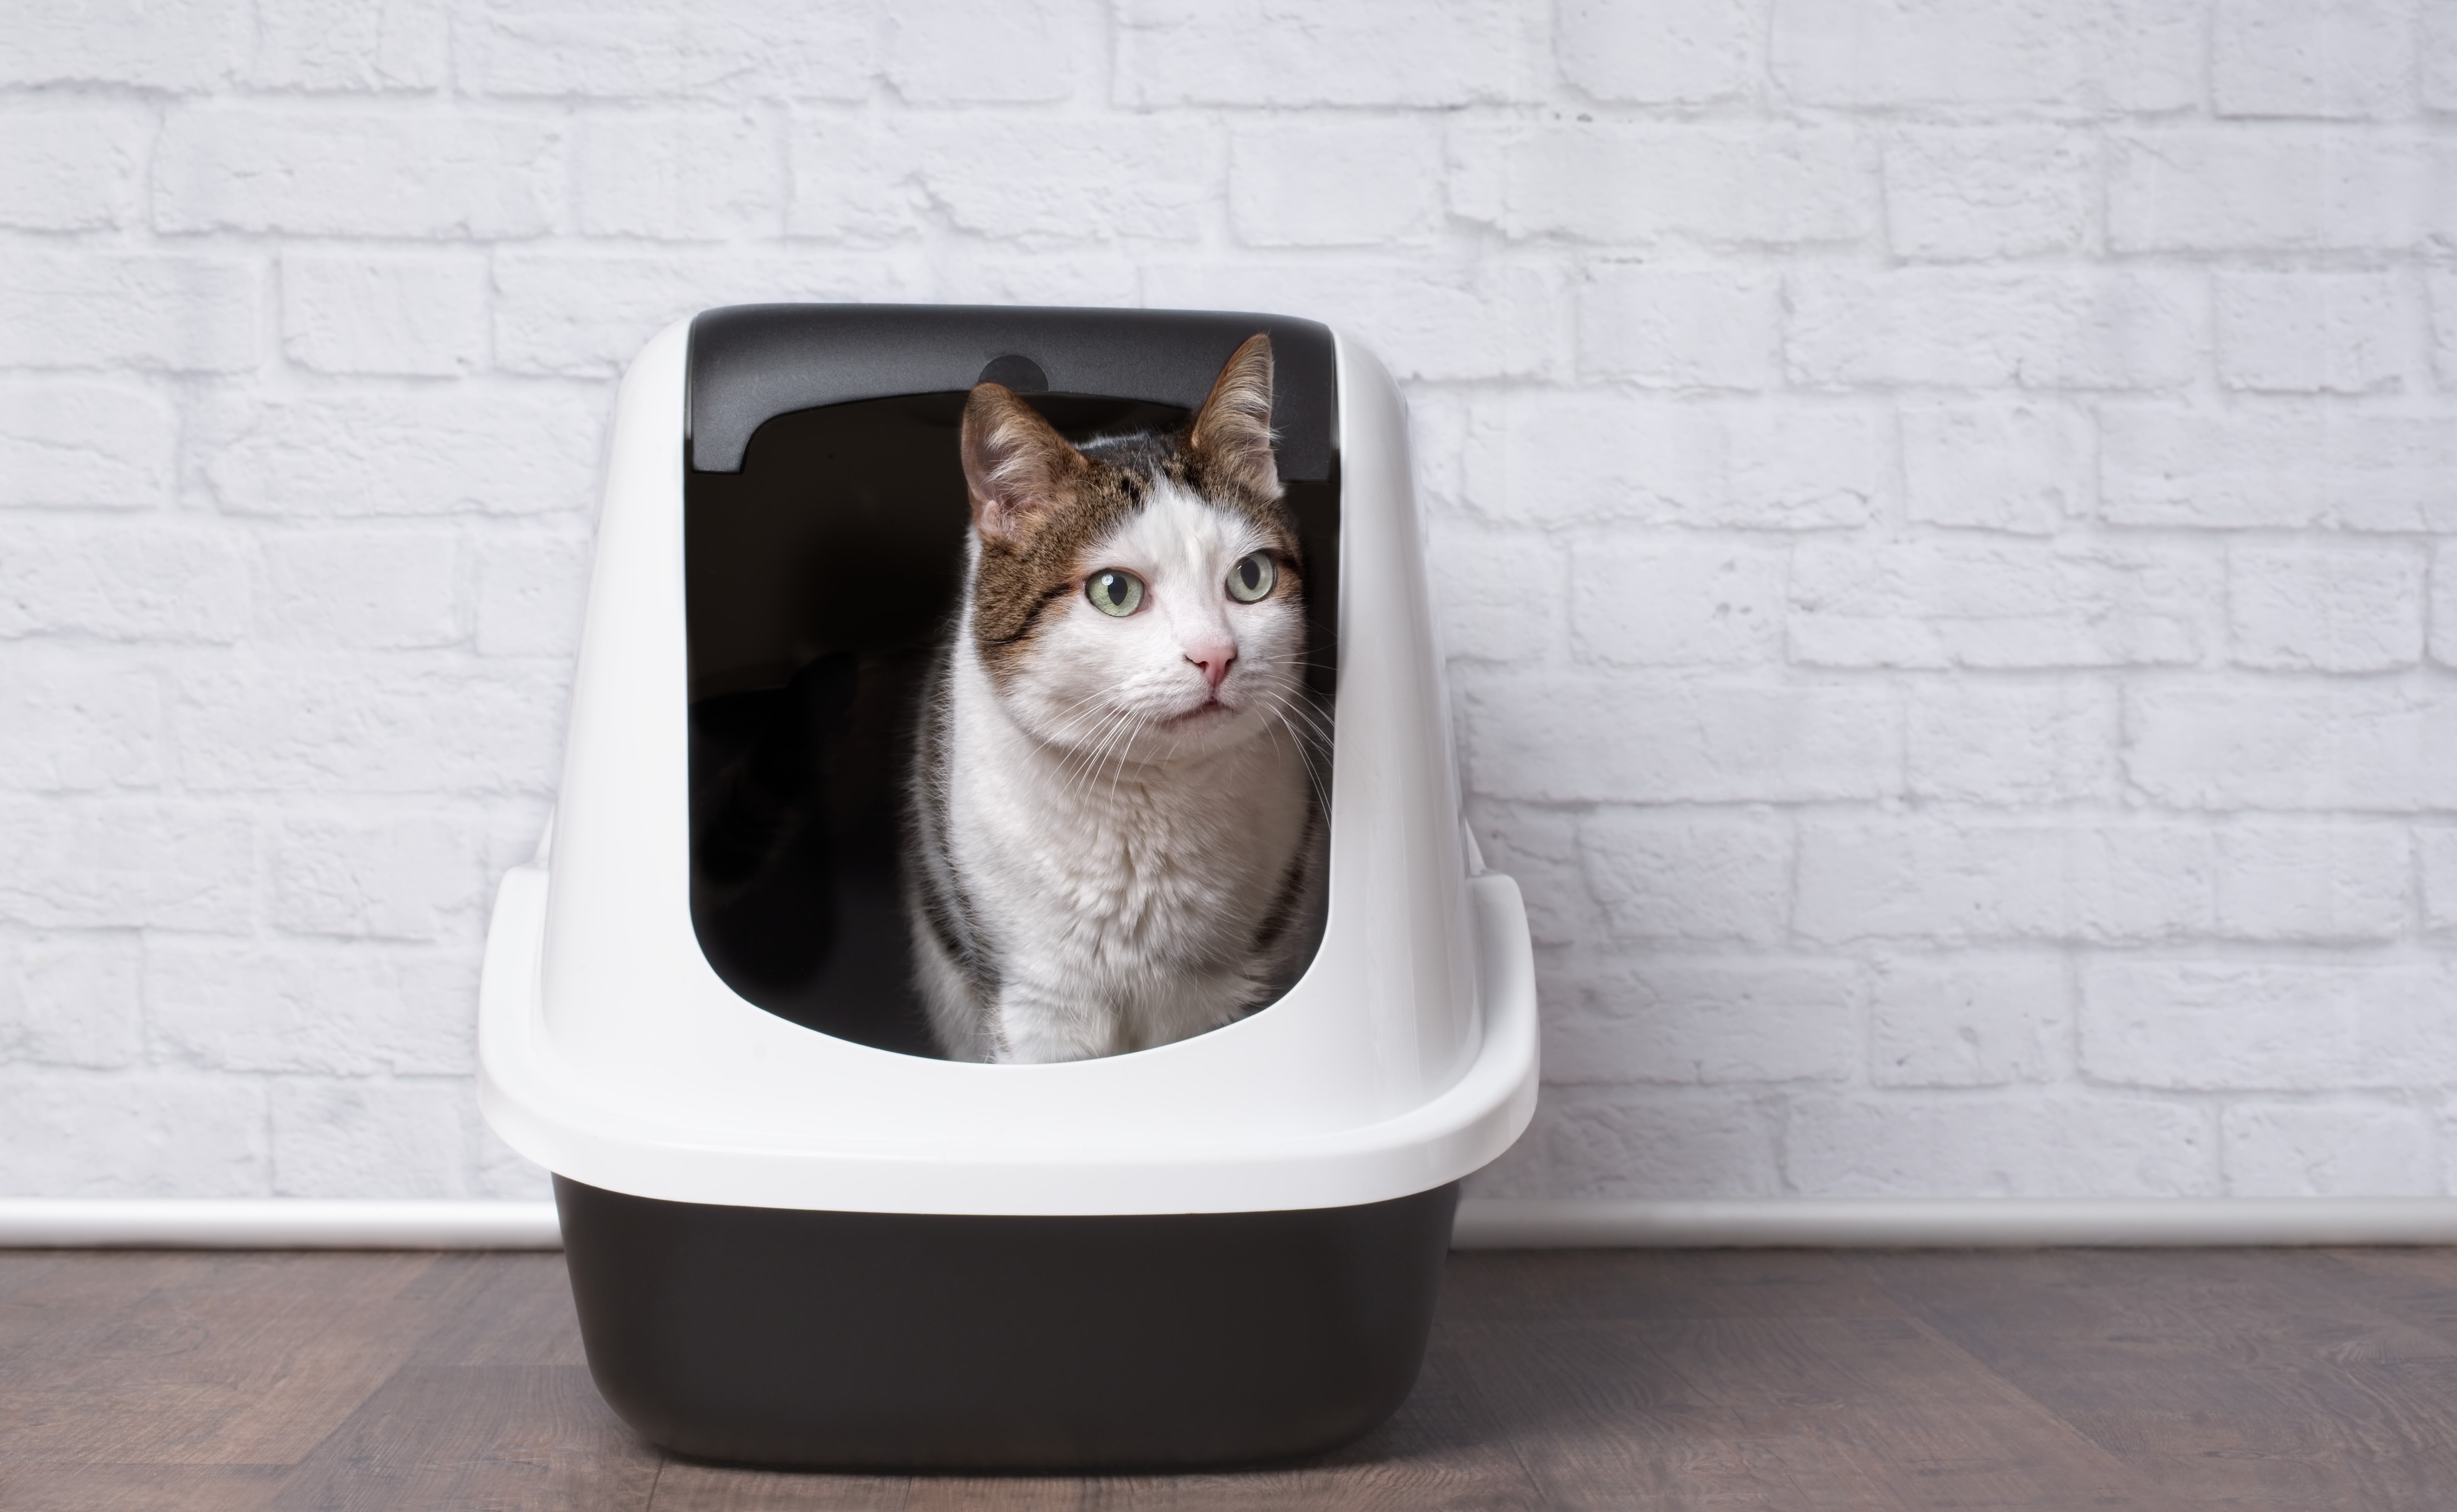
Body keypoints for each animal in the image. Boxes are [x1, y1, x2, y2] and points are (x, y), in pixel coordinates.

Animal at [904, 334, 1327, 1067]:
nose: (1216, 655)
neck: (1146, 802)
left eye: (1251, 578)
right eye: (1115, 592)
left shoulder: (1222, 990)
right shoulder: (1037, 1001)